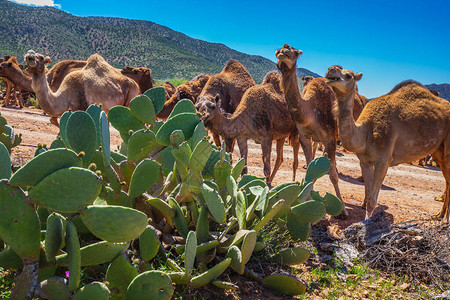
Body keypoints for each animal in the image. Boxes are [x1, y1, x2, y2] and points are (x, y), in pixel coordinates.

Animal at [276, 44, 350, 218]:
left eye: (294, 52)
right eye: (278, 51)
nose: (283, 51)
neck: (310, 112)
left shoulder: (329, 138)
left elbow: (334, 176)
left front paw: (343, 210)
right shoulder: (304, 136)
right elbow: (311, 168)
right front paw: (307, 201)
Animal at [326, 65, 450, 220]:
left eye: (348, 75)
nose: (331, 70)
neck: (366, 131)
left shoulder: (383, 160)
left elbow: (372, 201)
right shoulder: (365, 161)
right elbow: (368, 194)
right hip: (438, 150)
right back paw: (440, 215)